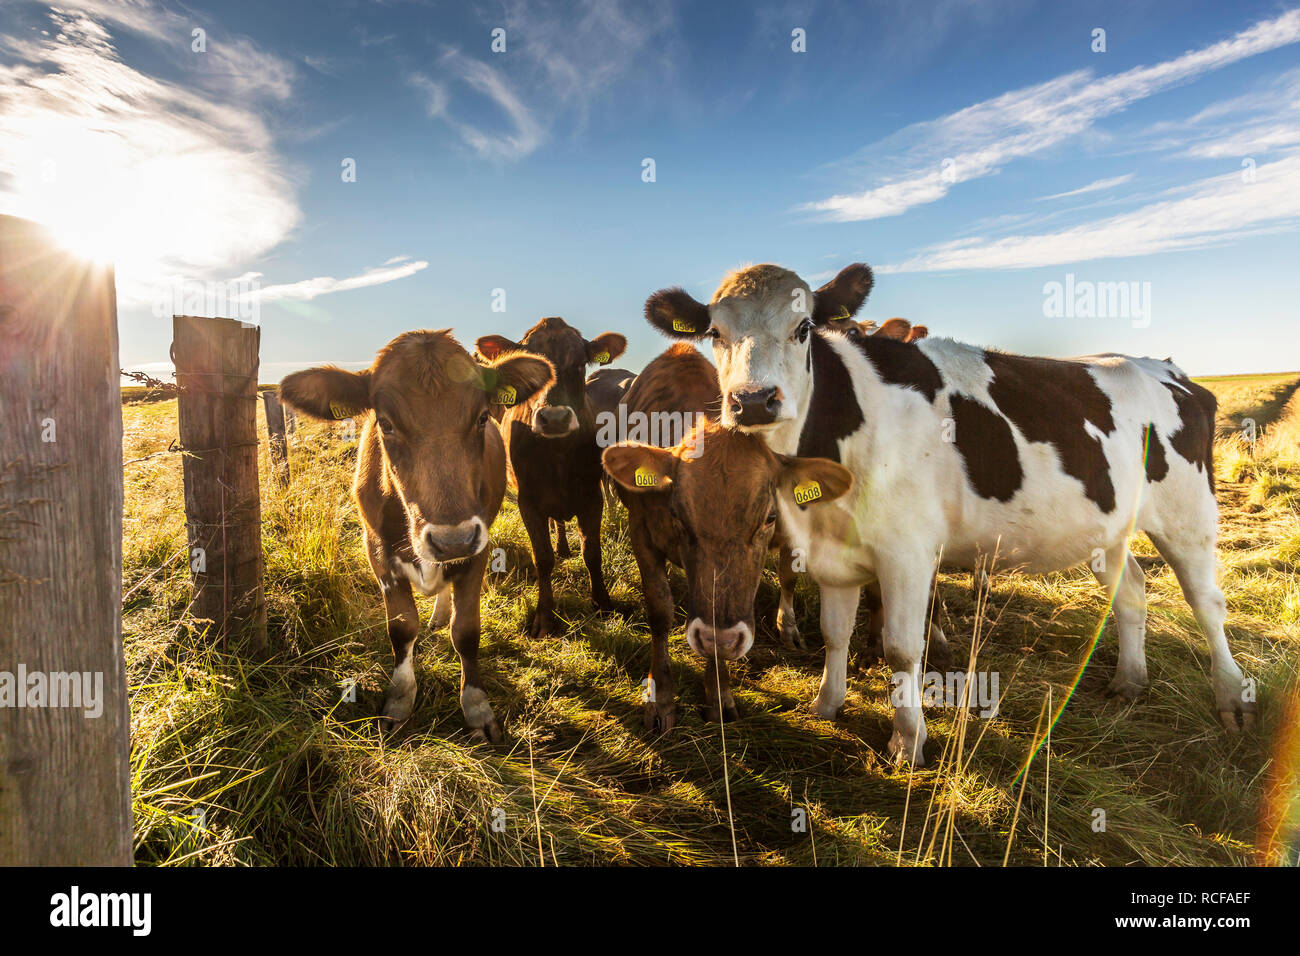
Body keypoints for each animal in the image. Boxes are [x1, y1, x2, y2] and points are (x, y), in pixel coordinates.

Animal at [280, 329, 553, 738]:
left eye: (482, 417)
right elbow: (402, 628)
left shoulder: (477, 550)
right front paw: (399, 700)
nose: (452, 540)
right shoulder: (377, 552)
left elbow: (466, 631)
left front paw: (476, 706)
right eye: (386, 423)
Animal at [478, 317, 629, 639]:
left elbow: (592, 553)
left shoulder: (592, 497)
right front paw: (545, 616)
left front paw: (603, 604)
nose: (555, 418)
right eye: (531, 369)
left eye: (580, 364)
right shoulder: (529, 503)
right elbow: (543, 558)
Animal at [600, 348, 847, 728]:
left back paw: (787, 628)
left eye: (769, 517)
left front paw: (719, 694)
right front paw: (661, 698)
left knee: (787, 577)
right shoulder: (641, 534)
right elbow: (660, 611)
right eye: (677, 515)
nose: (720, 638)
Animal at [644, 265, 1253, 764]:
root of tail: (1168, 369)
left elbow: (900, 646)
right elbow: (835, 632)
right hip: (1106, 528)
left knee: (1206, 602)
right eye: (715, 334)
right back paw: (1129, 679)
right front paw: (826, 705)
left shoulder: (907, 552)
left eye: (803, 328)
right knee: (1130, 591)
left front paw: (908, 739)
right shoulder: (833, 551)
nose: (752, 401)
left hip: (1188, 515)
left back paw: (1230, 696)